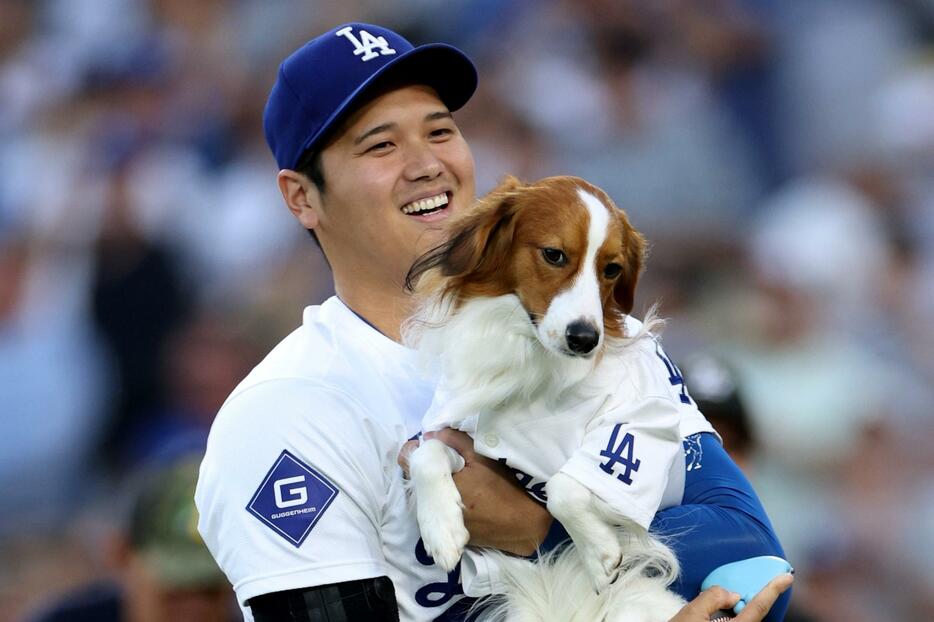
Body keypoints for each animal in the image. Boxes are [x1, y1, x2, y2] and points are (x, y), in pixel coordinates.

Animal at [406, 177, 692, 622]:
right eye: (554, 255)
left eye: (612, 269)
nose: (585, 339)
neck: (530, 359)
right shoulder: (454, 431)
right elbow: (425, 453)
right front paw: (442, 528)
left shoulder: (635, 435)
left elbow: (563, 487)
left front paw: (599, 552)